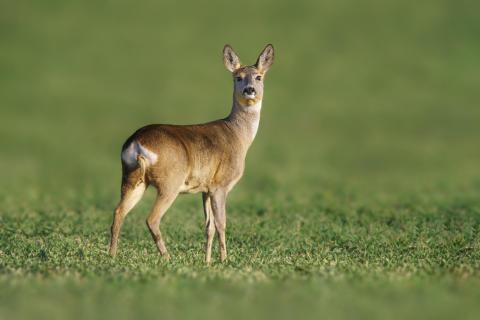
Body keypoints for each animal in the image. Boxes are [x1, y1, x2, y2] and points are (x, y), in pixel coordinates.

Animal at [109, 43, 274, 262]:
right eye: (237, 77)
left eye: (259, 77)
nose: (250, 90)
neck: (238, 136)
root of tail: (136, 143)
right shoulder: (220, 185)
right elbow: (221, 223)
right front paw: (224, 260)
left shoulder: (206, 188)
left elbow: (209, 227)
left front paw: (207, 262)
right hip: (169, 182)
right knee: (152, 218)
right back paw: (167, 258)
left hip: (132, 178)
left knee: (118, 211)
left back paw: (112, 256)